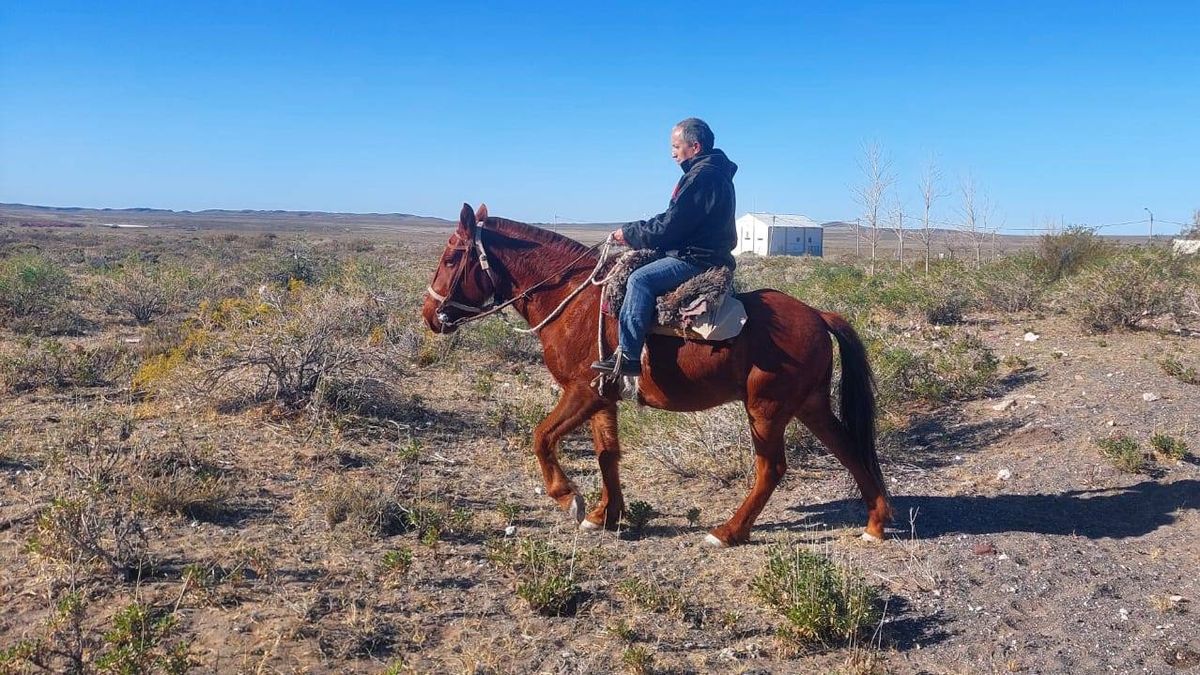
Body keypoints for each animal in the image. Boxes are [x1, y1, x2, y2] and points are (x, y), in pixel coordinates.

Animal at [421, 203, 892, 546]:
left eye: (451, 257)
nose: (429, 314)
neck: (573, 301)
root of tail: (817, 314)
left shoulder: (581, 392)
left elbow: (541, 437)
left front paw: (569, 498)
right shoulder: (602, 397)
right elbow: (606, 454)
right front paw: (605, 515)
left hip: (767, 409)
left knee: (771, 468)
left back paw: (728, 532)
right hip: (809, 405)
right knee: (849, 449)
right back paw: (875, 522)